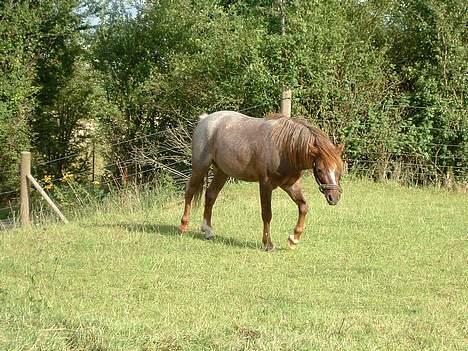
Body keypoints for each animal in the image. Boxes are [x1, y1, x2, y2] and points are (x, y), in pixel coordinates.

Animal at [179, 110, 344, 250]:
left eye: (339, 169)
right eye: (319, 170)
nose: (334, 197)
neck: (283, 147)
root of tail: (205, 119)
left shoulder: (290, 185)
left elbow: (303, 206)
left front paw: (294, 239)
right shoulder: (265, 185)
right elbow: (267, 214)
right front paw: (268, 244)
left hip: (222, 172)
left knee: (211, 195)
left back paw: (208, 230)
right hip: (200, 167)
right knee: (190, 191)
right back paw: (183, 227)